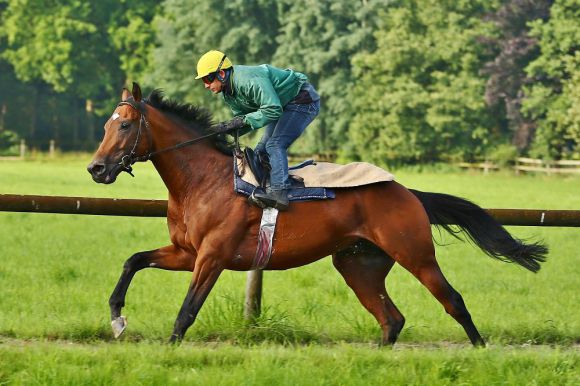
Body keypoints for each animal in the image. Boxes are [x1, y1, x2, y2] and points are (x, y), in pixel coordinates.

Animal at [87, 83, 548, 346]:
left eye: (124, 126)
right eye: (106, 126)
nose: (96, 168)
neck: (204, 181)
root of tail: (406, 191)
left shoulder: (212, 256)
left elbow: (187, 310)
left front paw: (168, 346)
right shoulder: (186, 252)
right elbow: (133, 262)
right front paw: (117, 319)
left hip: (415, 254)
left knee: (453, 301)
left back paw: (481, 351)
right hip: (358, 264)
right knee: (391, 319)